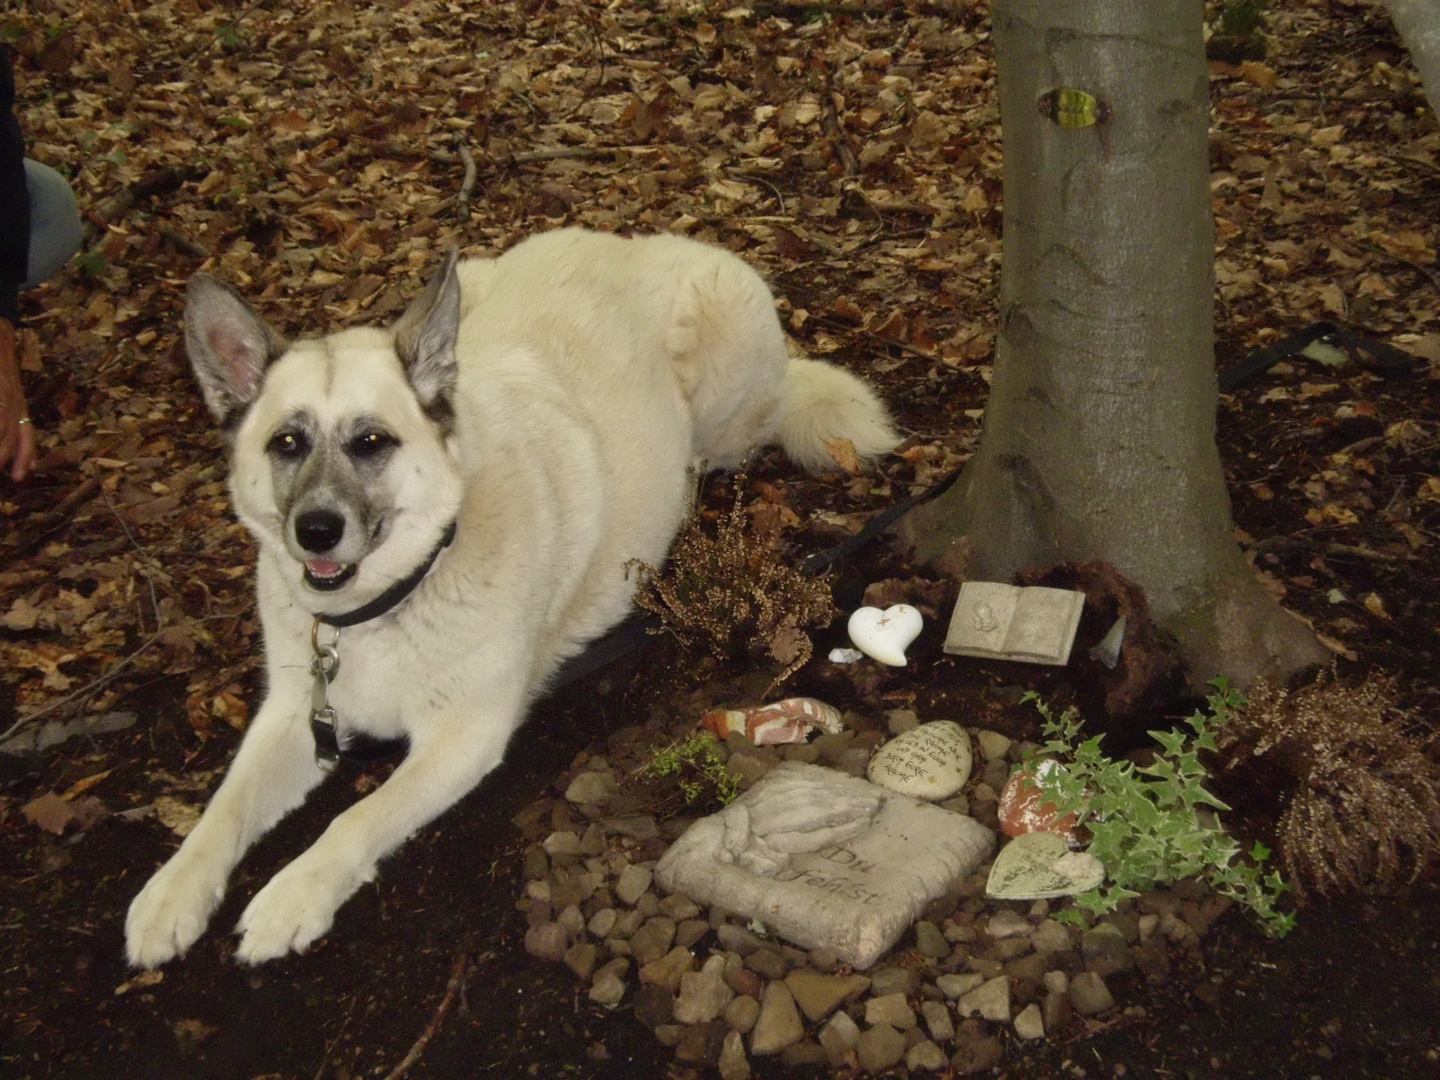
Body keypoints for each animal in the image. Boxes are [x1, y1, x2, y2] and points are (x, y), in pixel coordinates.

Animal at [129, 224, 898, 967]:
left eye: (371, 441)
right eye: (286, 443)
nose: (315, 531)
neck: (386, 604)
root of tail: (634, 242)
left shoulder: (465, 733)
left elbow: (357, 818)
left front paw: (293, 896)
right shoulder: (295, 712)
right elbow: (224, 810)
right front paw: (171, 894)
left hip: (723, 350)